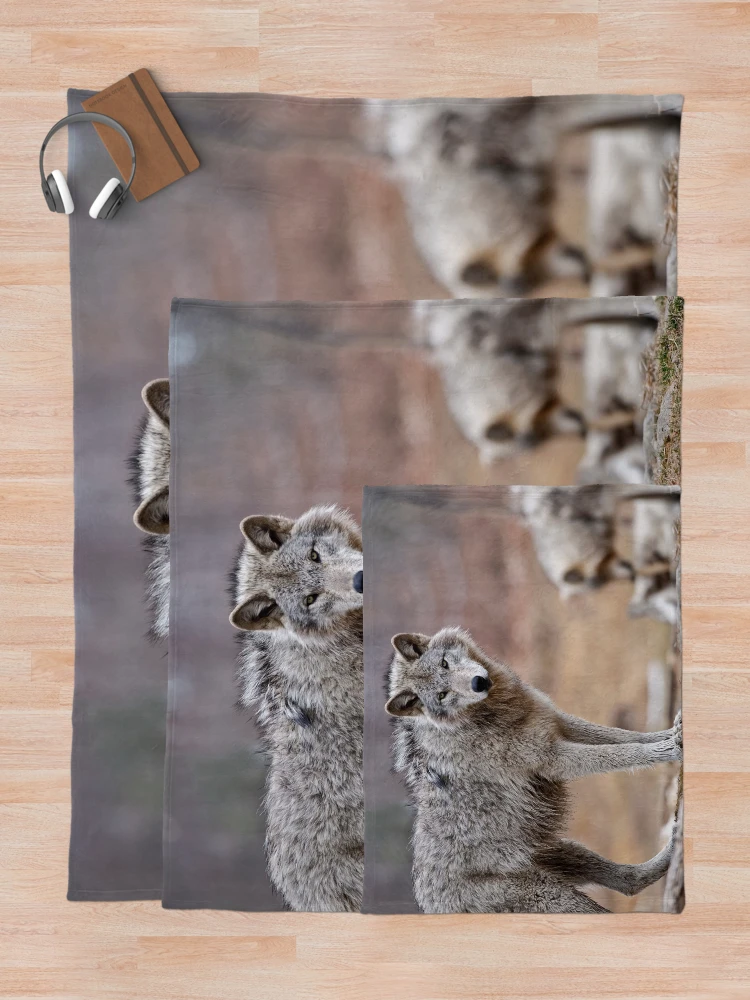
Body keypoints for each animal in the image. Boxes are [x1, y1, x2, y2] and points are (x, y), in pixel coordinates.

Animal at [386, 627, 681, 914]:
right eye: (442, 695)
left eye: (445, 664)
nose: (478, 683)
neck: (485, 715)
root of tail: (430, 905)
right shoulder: (554, 759)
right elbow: (624, 753)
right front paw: (668, 750)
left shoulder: (559, 723)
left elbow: (626, 736)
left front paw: (672, 733)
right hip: (558, 894)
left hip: (557, 849)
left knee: (629, 881)